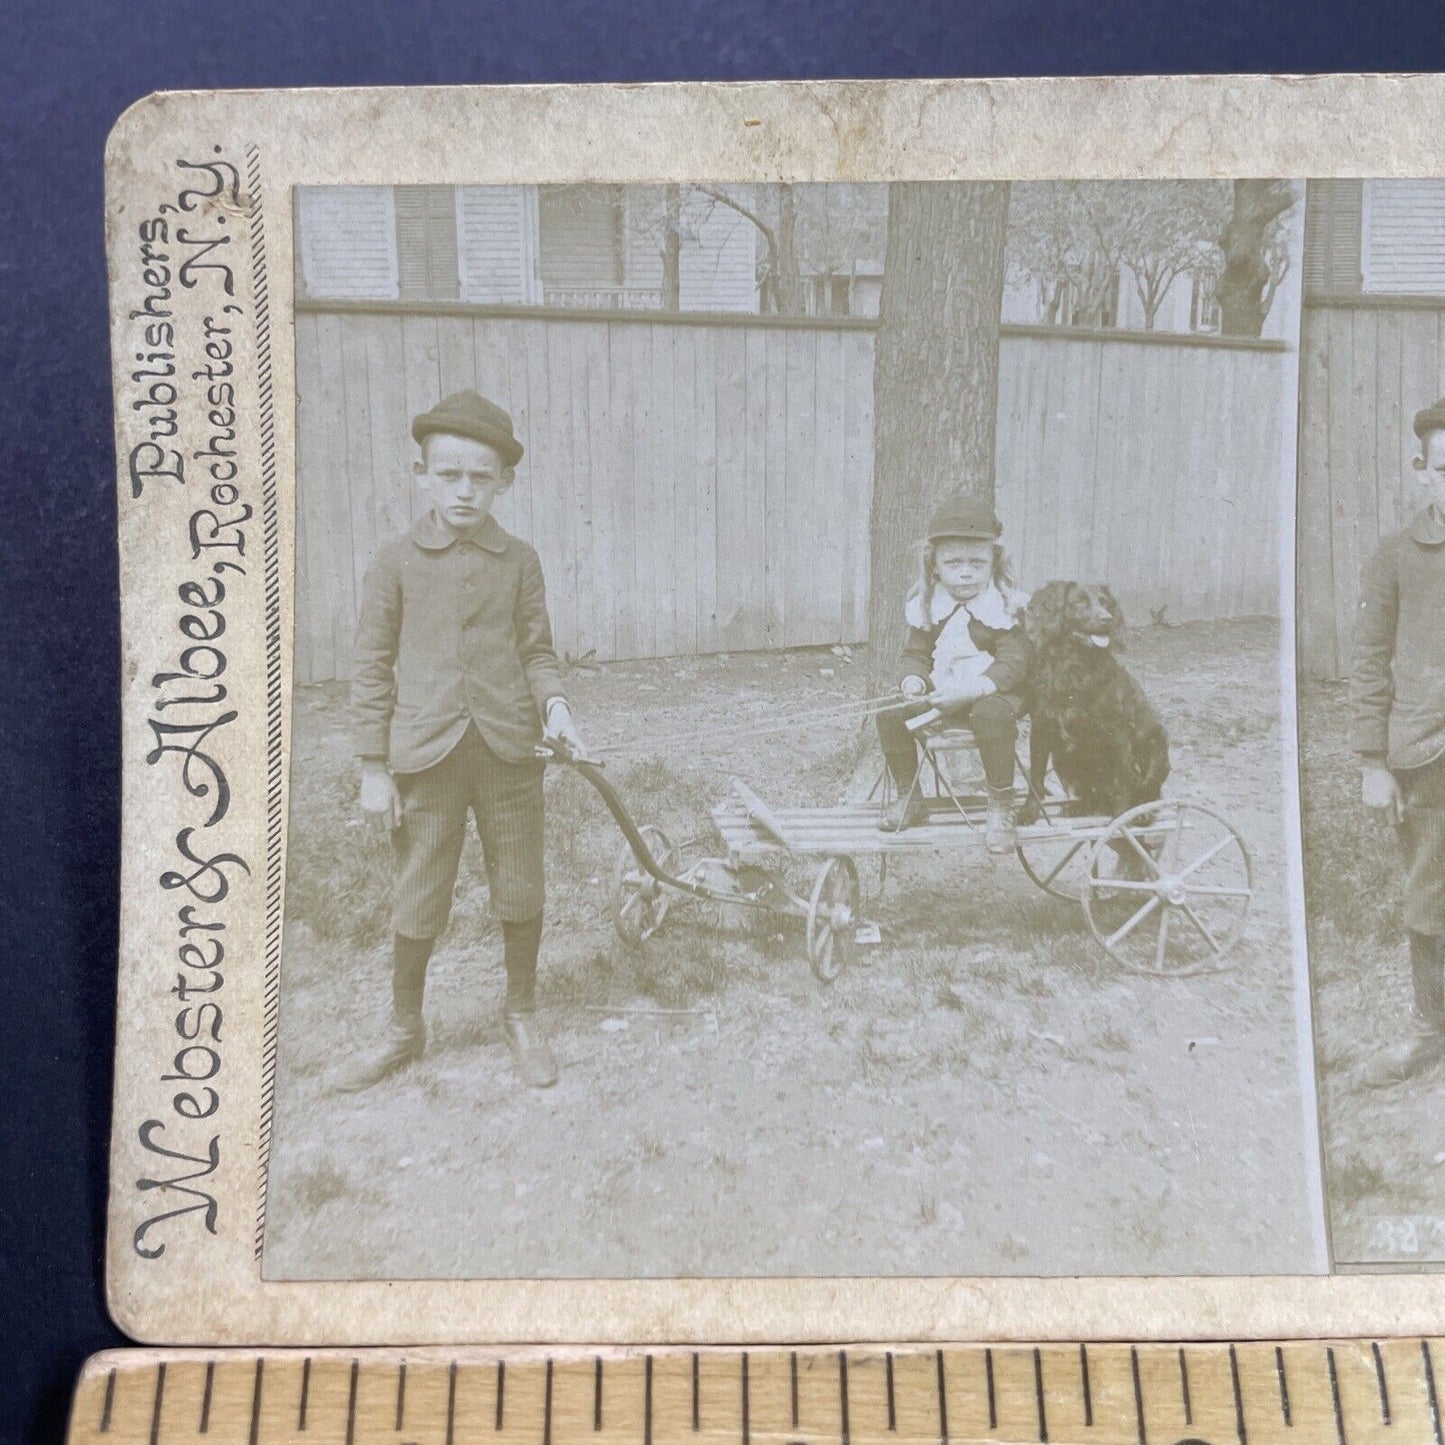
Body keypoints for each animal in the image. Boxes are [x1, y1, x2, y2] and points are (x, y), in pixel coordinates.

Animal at [1023, 575, 1167, 826]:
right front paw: (1028, 812)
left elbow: (1122, 783)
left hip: (1154, 748)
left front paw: (1121, 819)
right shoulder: (1041, 728)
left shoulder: (1118, 734)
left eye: (1105, 602)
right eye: (1079, 601)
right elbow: (1036, 776)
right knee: (1092, 796)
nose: (1106, 619)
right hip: (1063, 758)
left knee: (1146, 791)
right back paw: (1079, 807)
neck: (1073, 667)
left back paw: (1142, 813)